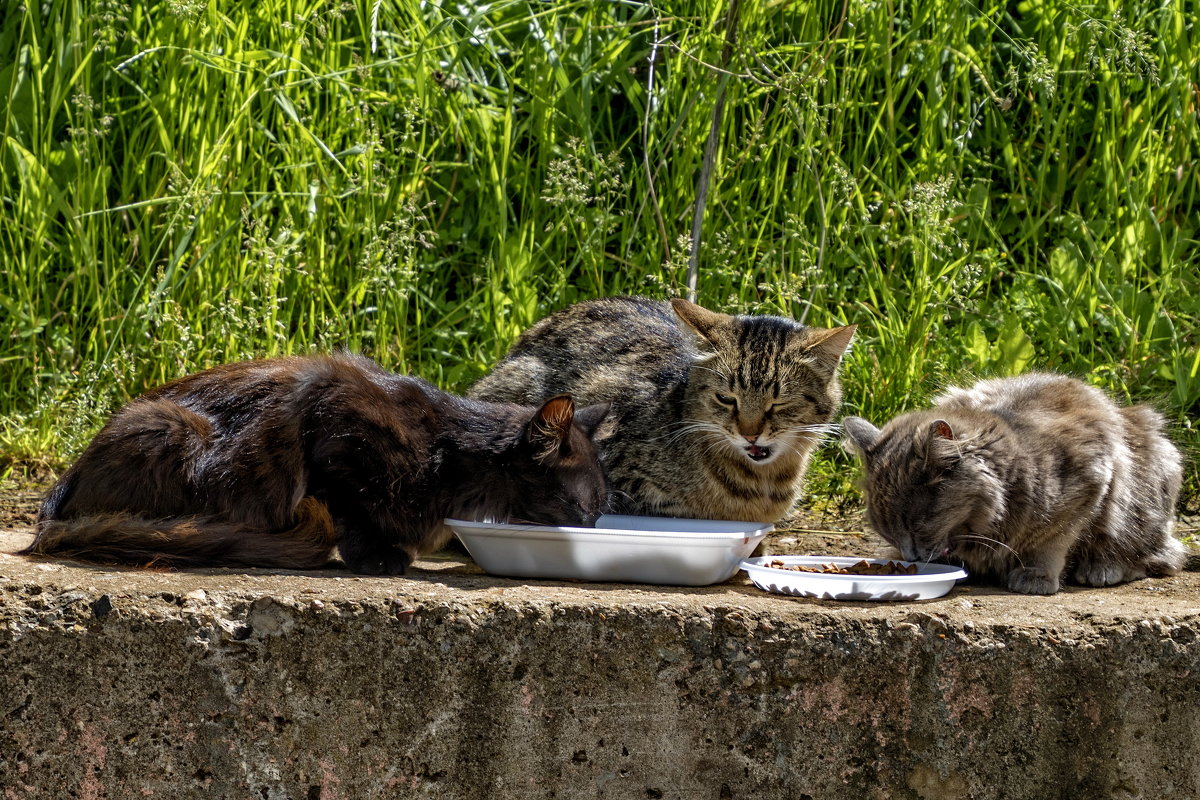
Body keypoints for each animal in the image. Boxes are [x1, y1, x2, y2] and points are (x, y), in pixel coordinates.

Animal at [23, 352, 609, 573]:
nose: (595, 523)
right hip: (172, 426)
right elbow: (350, 507)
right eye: (586, 505)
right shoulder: (331, 425)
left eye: (601, 507)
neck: (452, 455)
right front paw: (378, 556)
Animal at [844, 371, 1190, 592]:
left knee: (1163, 556)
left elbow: (1050, 541)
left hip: (1153, 481)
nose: (910, 557)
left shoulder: (1090, 482)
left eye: (918, 525)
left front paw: (1036, 575)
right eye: (886, 532)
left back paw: (1102, 567)